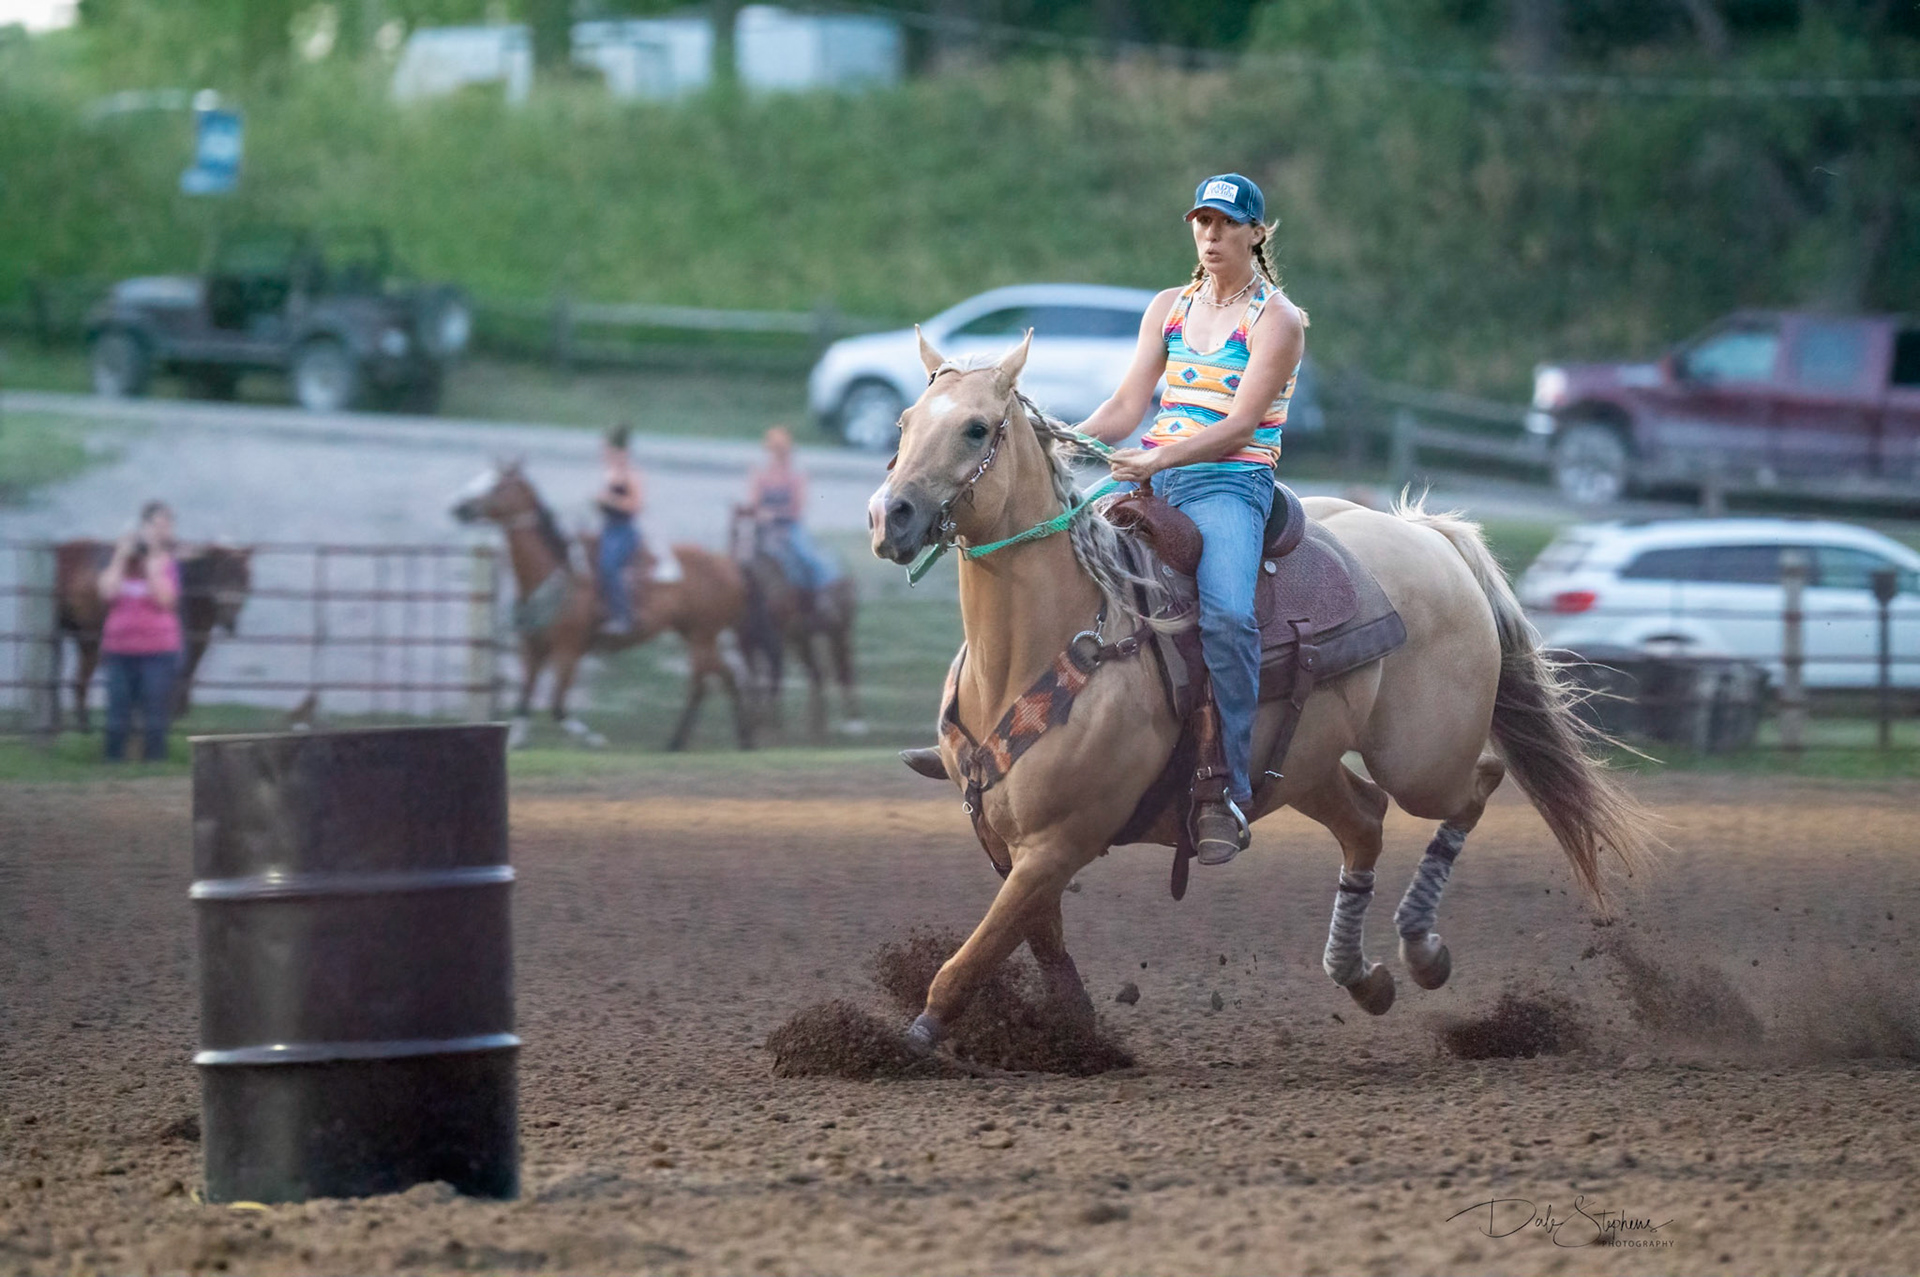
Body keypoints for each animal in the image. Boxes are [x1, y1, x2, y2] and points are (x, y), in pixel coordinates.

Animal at [52, 540, 253, 732]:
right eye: (219, 572)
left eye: (244, 576)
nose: (229, 616)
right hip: (90, 639)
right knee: (79, 679)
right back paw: (82, 725)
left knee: (74, 679)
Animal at [452, 461, 756, 751]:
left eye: (498, 485)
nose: (459, 508)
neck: (553, 572)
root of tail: (730, 566)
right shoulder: (532, 649)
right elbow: (524, 701)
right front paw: (518, 741)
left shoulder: (568, 651)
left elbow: (557, 706)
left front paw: (593, 740)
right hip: (696, 635)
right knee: (726, 678)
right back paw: (735, 740)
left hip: (702, 637)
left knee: (703, 684)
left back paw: (684, 741)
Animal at [728, 509, 864, 740]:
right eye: (734, 531)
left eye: (757, 533)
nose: (744, 562)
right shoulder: (746, 642)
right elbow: (753, 682)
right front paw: (756, 722)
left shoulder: (775, 643)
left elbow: (774, 679)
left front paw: (772, 725)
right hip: (801, 640)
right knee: (817, 675)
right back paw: (816, 727)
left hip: (838, 633)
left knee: (845, 672)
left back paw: (852, 722)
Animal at [869, 332, 1655, 1051]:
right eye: (904, 422)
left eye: (976, 428)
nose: (888, 516)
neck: (1054, 639)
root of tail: (1429, 537)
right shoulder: (1008, 848)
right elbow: (1040, 946)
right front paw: (1075, 1036)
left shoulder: (1060, 843)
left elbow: (974, 955)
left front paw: (909, 1043)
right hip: (1304, 764)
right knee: (1365, 819)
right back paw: (1363, 976)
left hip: (1422, 760)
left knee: (1475, 784)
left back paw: (1423, 948)